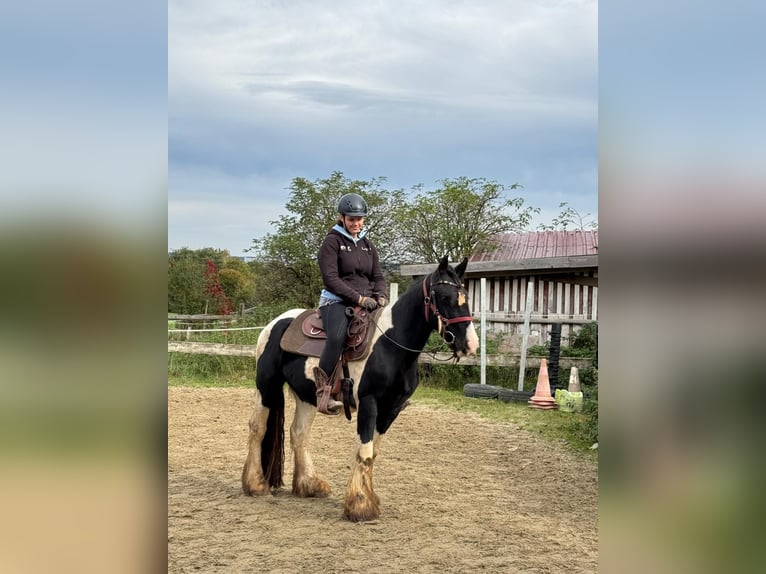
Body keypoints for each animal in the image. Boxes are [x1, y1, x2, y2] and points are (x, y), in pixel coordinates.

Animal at [242, 256, 480, 520]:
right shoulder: (369, 402)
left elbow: (372, 453)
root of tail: (275, 323)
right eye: (445, 297)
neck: (390, 345)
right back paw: (256, 485)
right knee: (257, 428)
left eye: (465, 296)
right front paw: (360, 505)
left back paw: (309, 485)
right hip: (266, 386)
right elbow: (364, 451)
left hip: (307, 397)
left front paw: (369, 499)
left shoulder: (391, 409)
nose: (470, 344)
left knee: (299, 433)